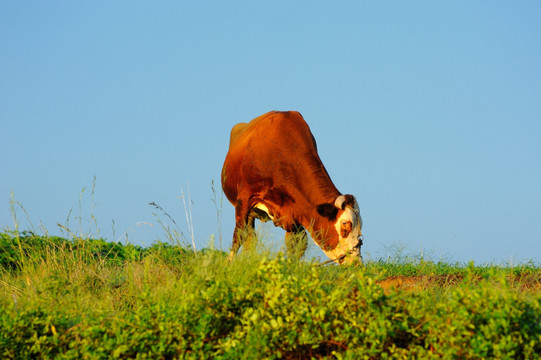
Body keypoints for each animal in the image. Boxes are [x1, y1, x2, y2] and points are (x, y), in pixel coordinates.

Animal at [219, 111, 362, 266]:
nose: (357, 262)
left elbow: (297, 245)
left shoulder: (296, 212)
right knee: (248, 238)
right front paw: (228, 264)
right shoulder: (245, 198)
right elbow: (238, 236)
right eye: (345, 225)